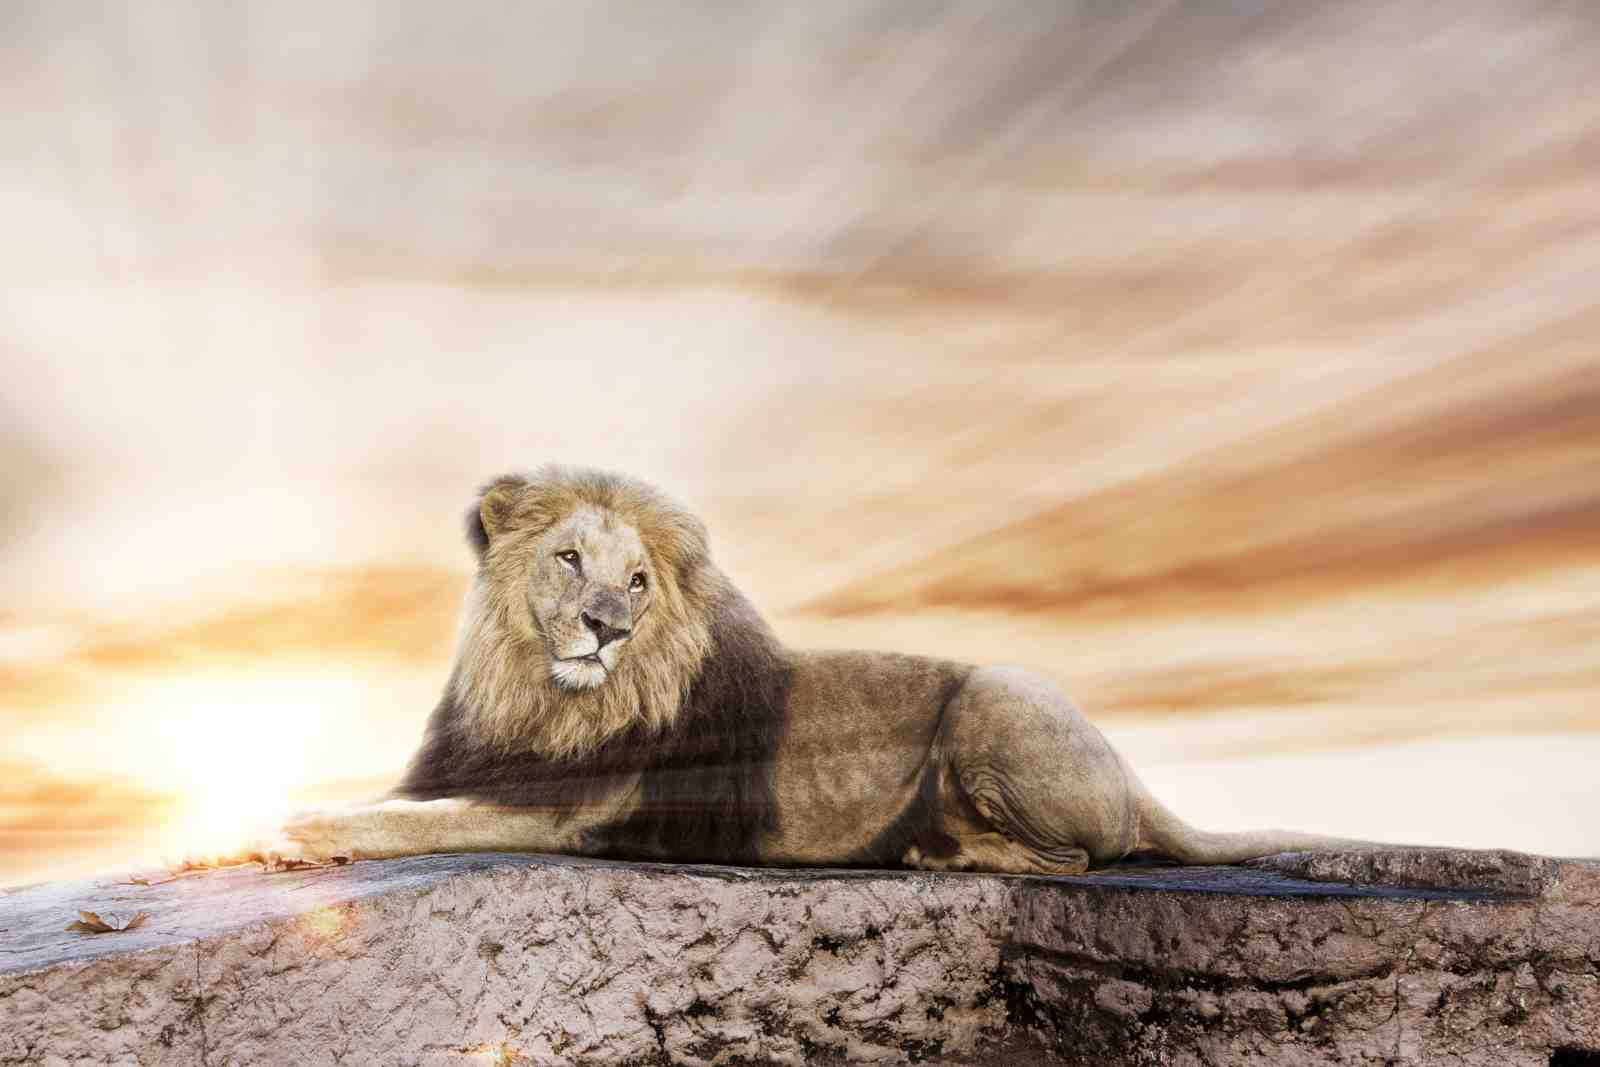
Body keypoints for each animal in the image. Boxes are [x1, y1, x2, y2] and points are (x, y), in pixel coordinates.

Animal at [253, 465, 1376, 875]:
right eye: (569, 559)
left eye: (638, 581)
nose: (607, 628)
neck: (544, 695)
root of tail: (1137, 778)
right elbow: (403, 801)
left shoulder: (573, 810)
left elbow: (411, 821)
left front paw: (287, 828)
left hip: (998, 691)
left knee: (1076, 858)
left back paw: (940, 853)